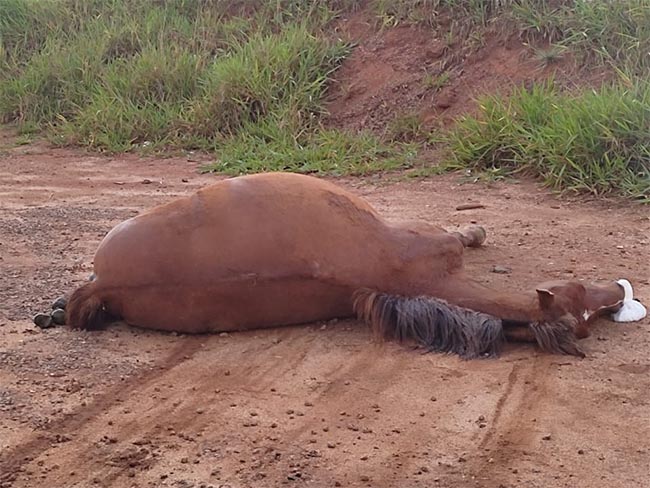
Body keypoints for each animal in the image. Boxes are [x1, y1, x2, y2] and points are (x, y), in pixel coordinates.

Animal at [64, 172, 644, 358]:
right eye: (582, 289)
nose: (622, 293)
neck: (399, 271)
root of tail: (104, 285)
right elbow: (461, 235)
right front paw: (476, 231)